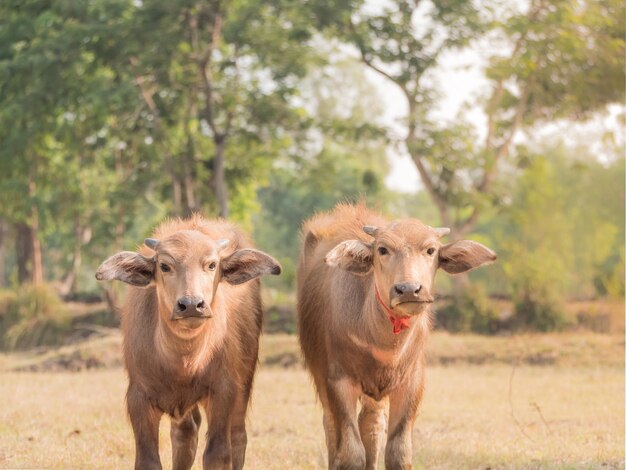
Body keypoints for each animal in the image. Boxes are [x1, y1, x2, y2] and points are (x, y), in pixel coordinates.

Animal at [95, 216, 280, 470]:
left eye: (212, 265)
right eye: (164, 266)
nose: (192, 304)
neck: (185, 360)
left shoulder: (224, 391)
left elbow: (217, 454)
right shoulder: (138, 398)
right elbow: (148, 460)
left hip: (244, 381)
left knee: (237, 436)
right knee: (185, 434)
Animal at [294, 204, 494, 468]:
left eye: (431, 250)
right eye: (382, 250)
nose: (408, 290)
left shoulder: (411, 381)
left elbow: (399, 451)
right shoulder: (337, 380)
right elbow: (350, 453)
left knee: (372, 424)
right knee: (331, 426)